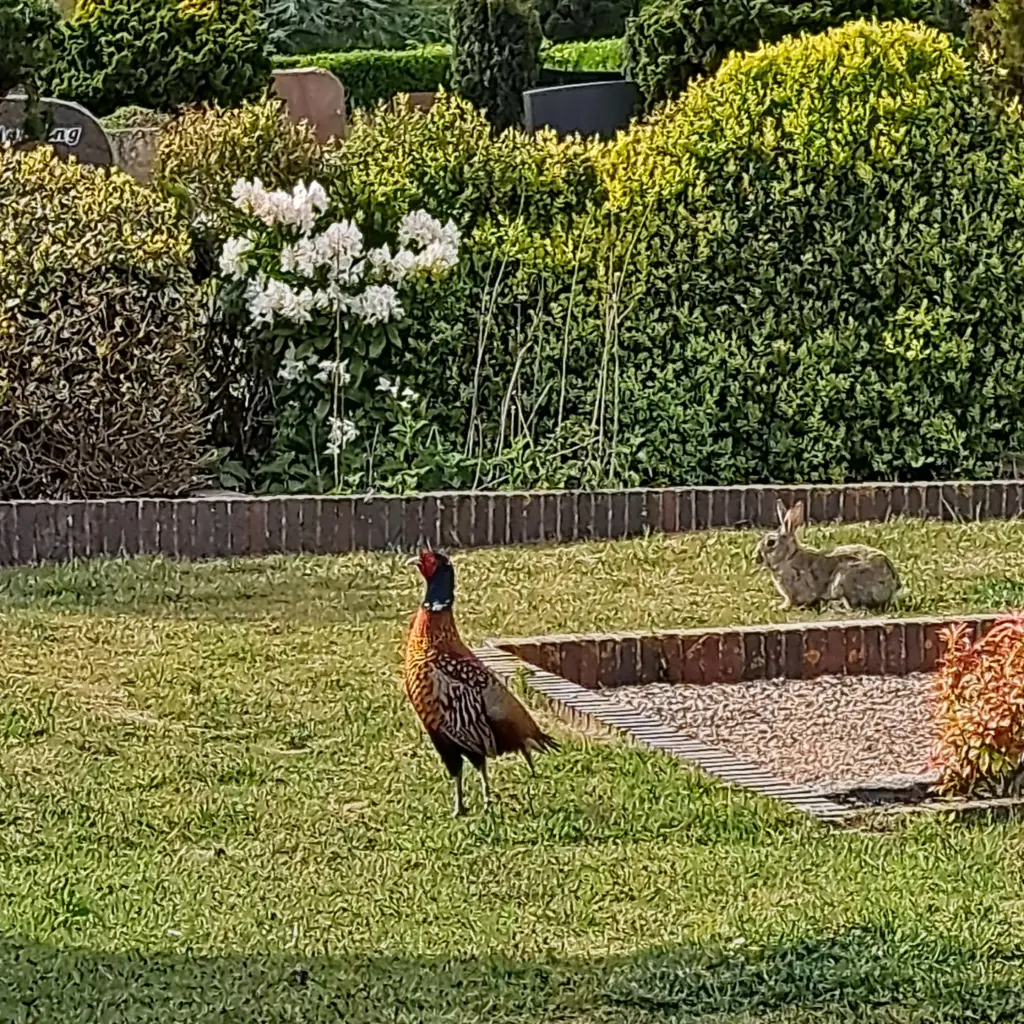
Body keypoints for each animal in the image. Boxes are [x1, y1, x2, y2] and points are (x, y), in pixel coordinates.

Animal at [754, 500, 901, 610]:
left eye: (771, 543)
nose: (756, 557)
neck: (788, 557)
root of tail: (893, 585)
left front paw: (780, 607)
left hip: (843, 579)